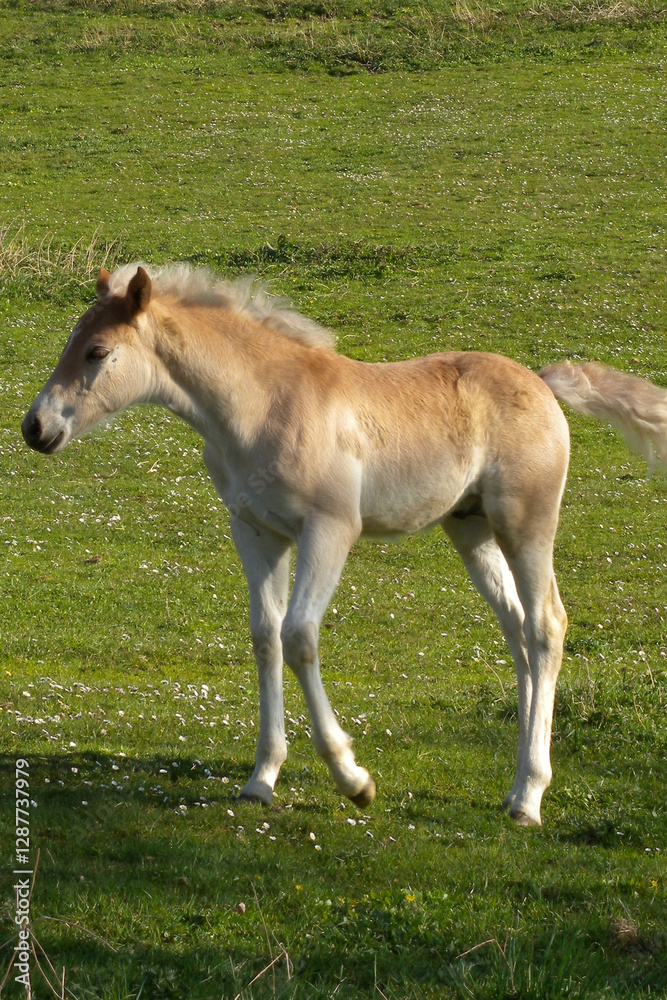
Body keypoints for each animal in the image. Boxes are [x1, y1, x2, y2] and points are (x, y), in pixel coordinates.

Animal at [22, 263, 667, 826]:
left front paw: (353, 778)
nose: (36, 427)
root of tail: (541, 382)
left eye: (97, 352)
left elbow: (299, 635)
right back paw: (512, 791)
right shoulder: (256, 532)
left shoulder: (330, 529)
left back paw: (530, 797)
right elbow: (265, 637)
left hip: (525, 523)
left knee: (546, 625)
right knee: (517, 631)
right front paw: (261, 779)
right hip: (471, 529)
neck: (262, 405)